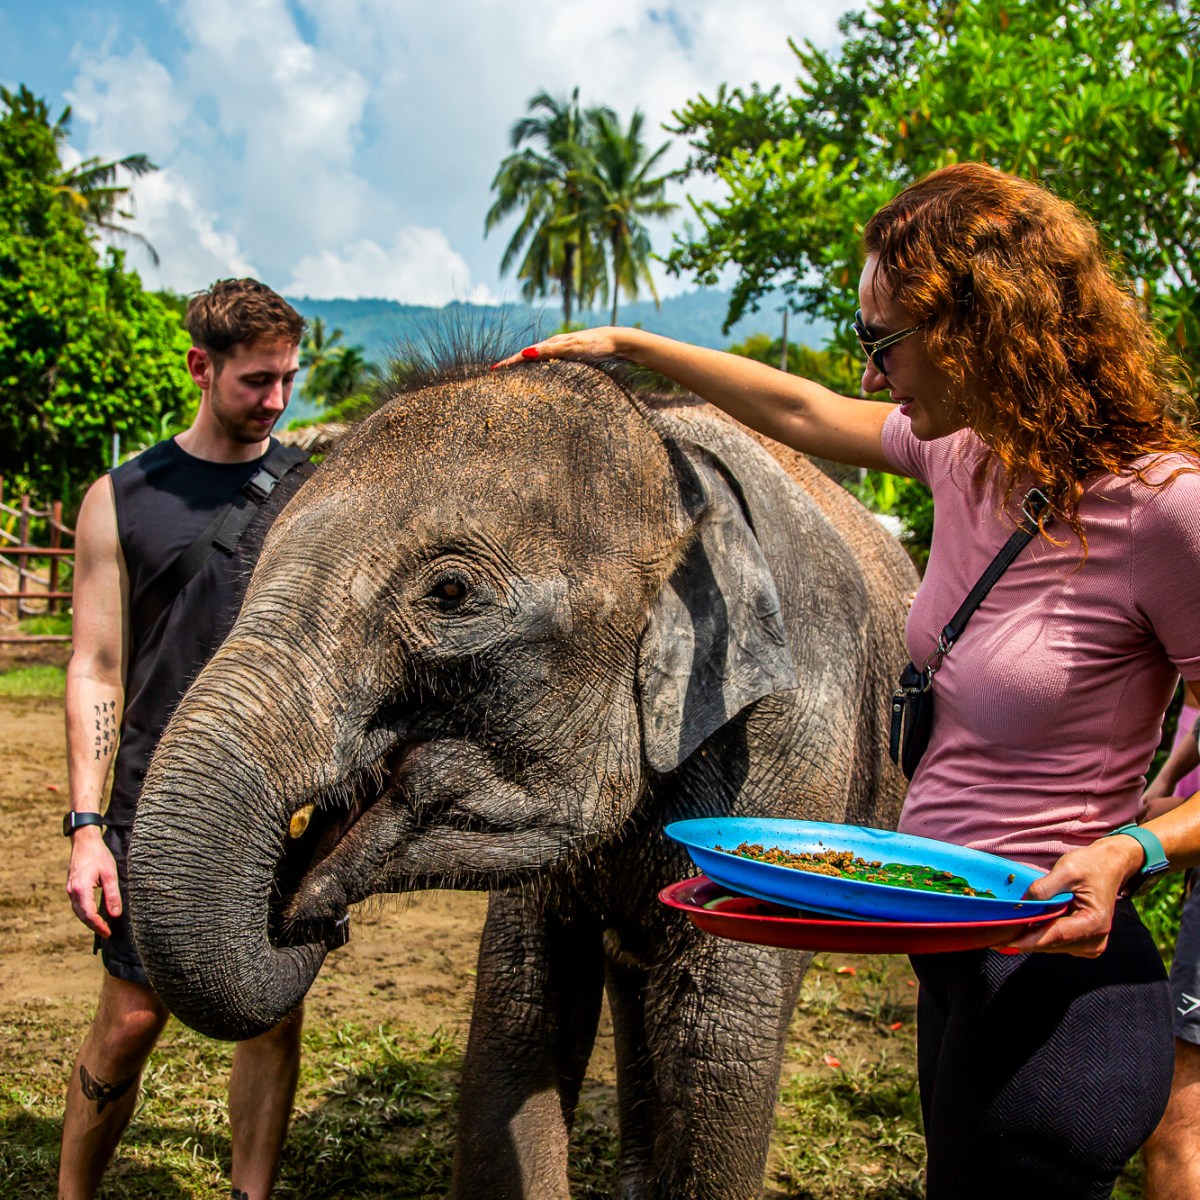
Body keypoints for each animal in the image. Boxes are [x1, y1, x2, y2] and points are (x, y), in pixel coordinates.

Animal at [128, 357, 916, 1200]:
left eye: (450, 594)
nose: (304, 911)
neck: (673, 469)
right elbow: (520, 1005)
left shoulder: (788, 743)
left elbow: (716, 1042)